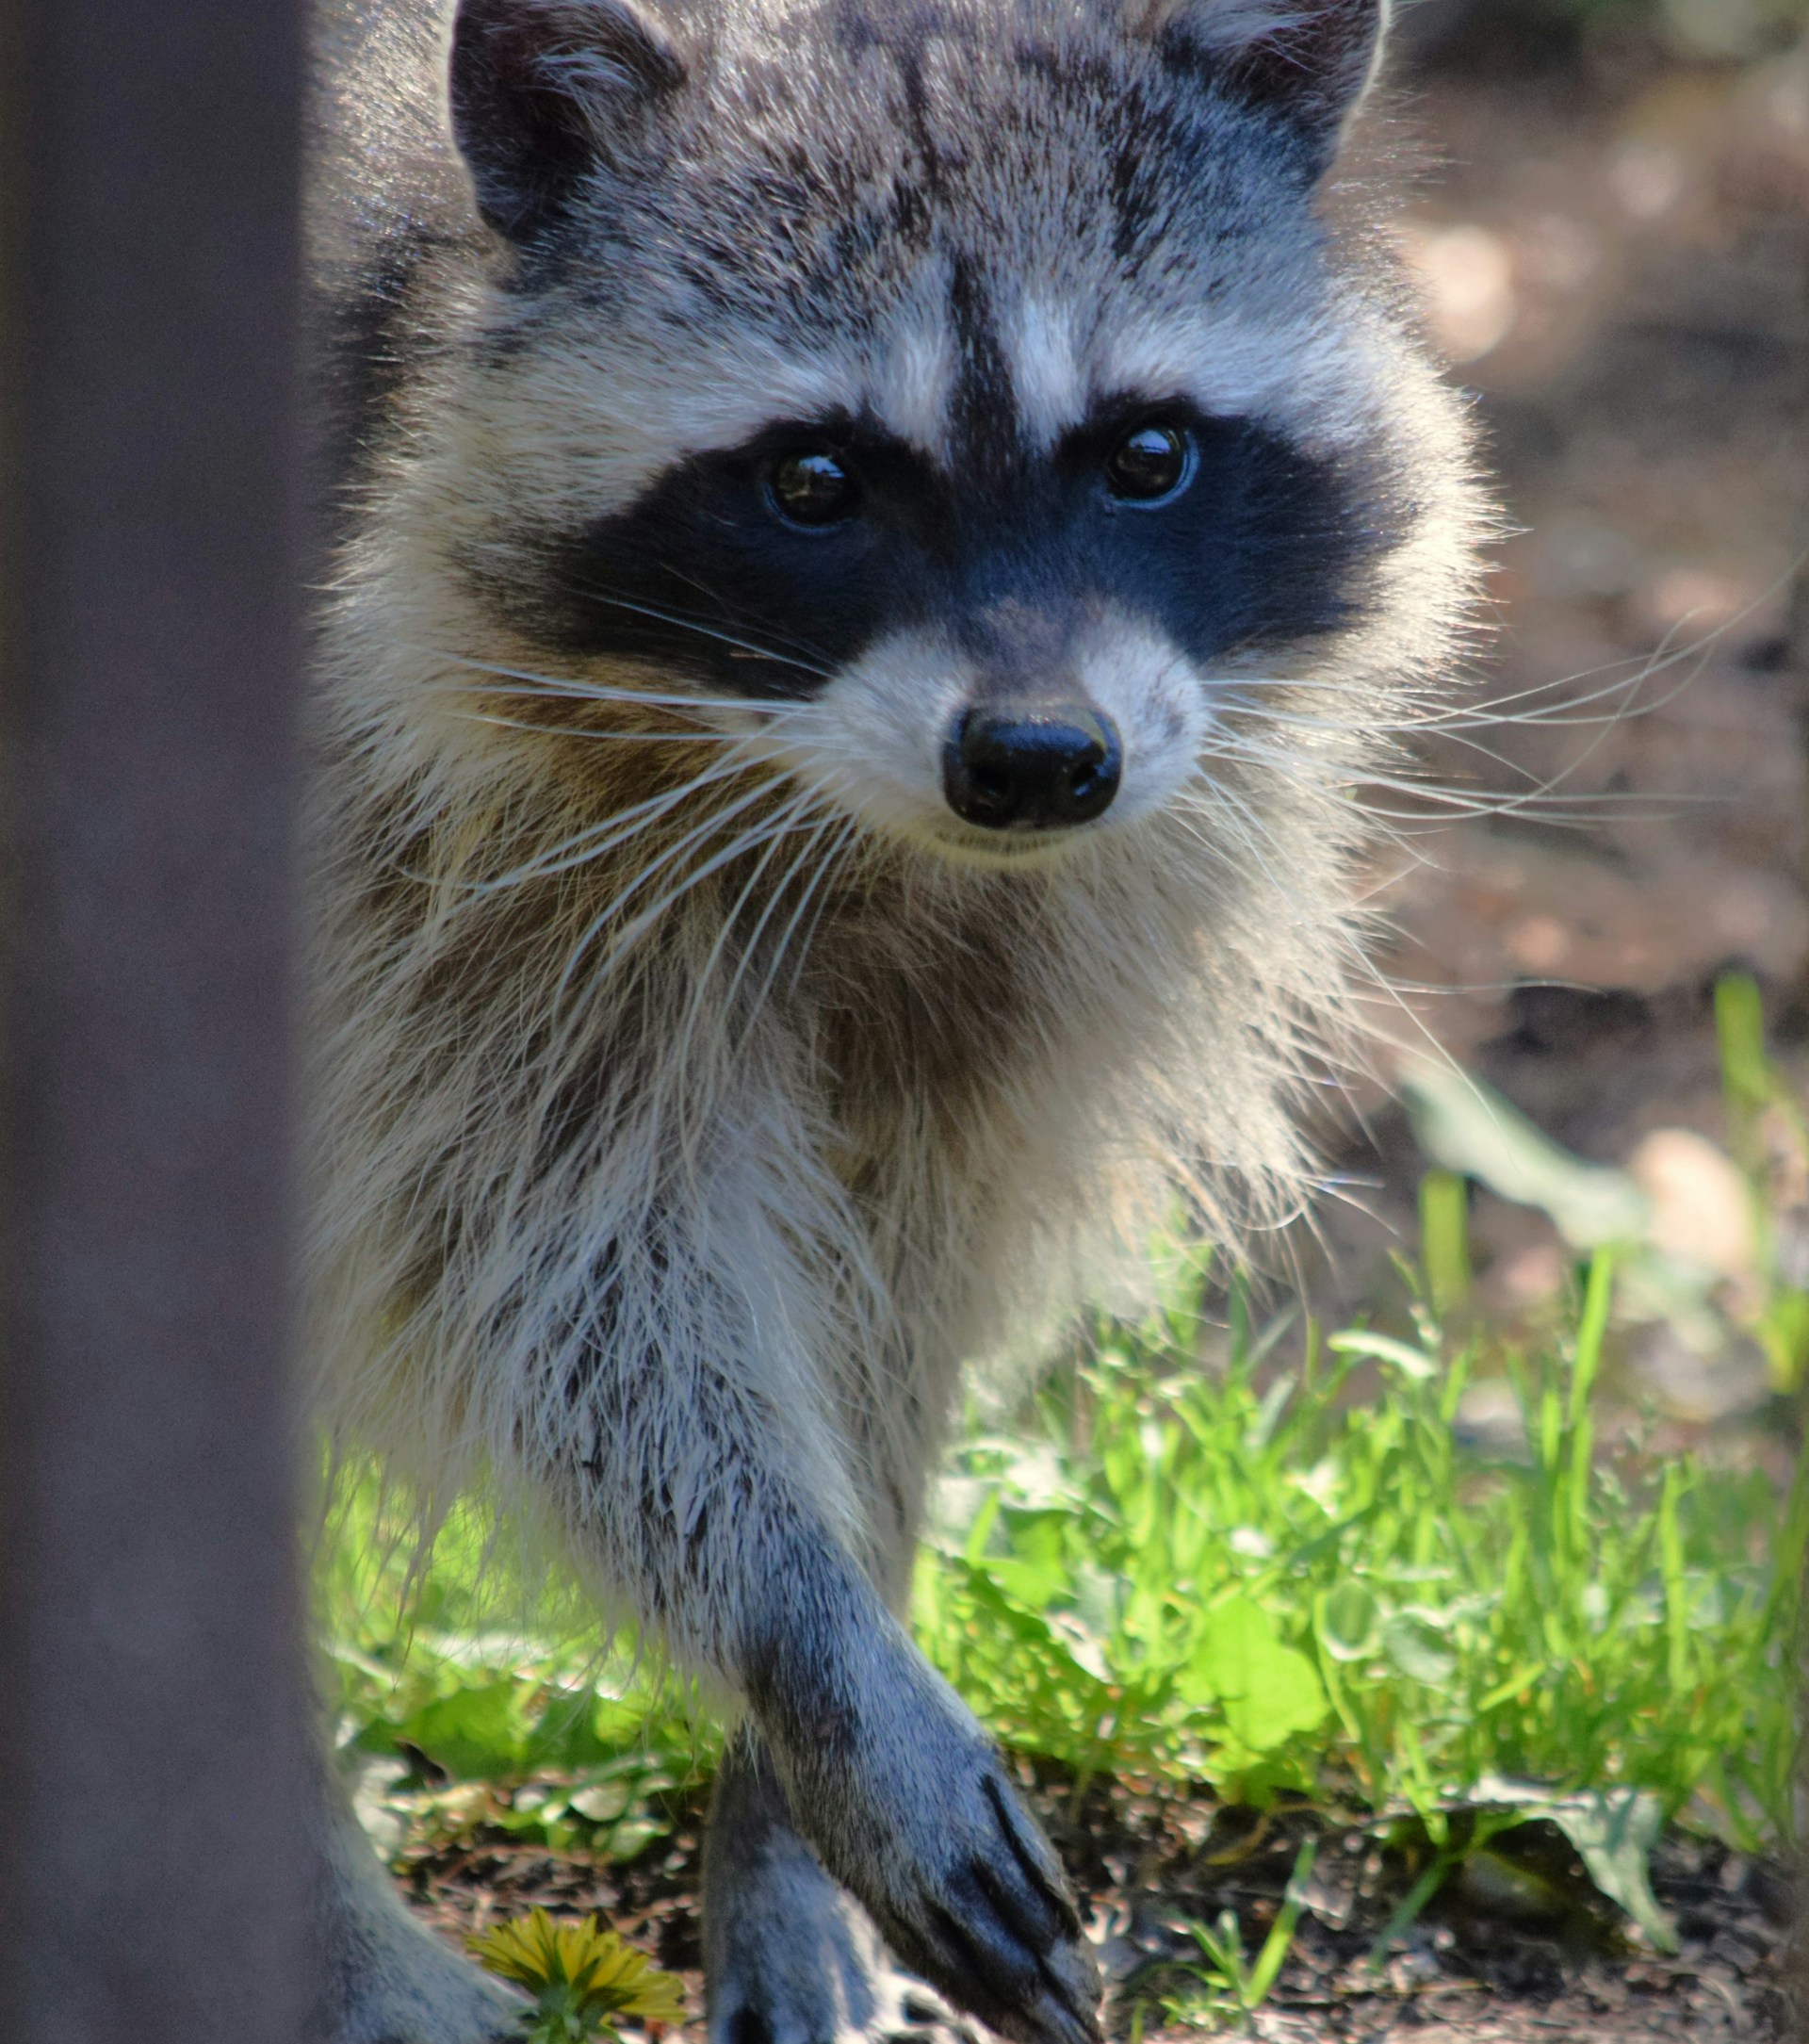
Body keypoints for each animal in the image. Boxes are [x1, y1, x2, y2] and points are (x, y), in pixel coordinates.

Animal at [304, 2, 1483, 2040]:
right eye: (813, 483)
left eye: (1147, 453)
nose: (1038, 762)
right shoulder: (408, 881)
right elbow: (558, 1285)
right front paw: (802, 1643)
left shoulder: (1030, 962)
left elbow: (887, 1311)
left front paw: (788, 1782)